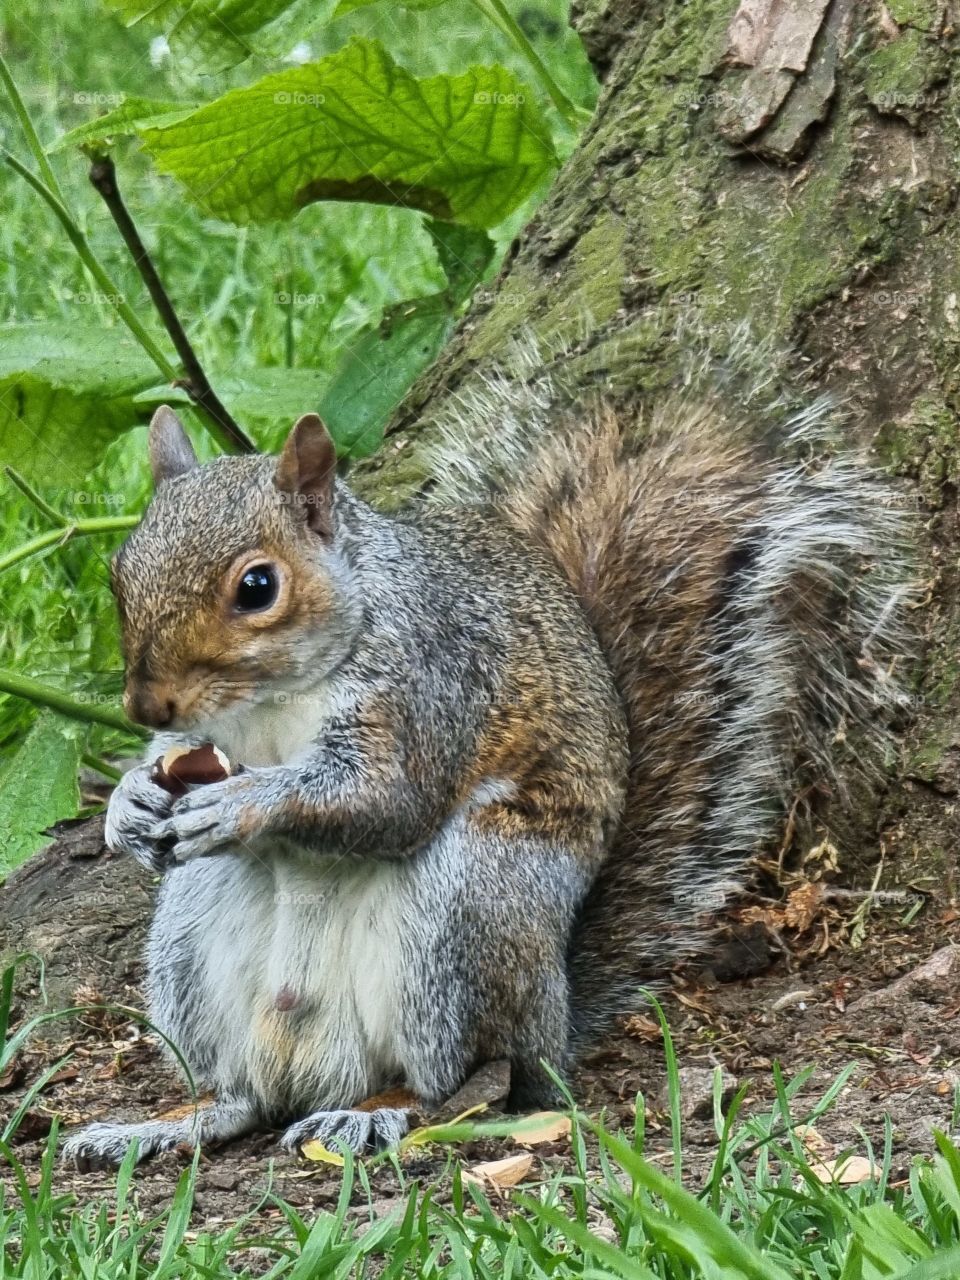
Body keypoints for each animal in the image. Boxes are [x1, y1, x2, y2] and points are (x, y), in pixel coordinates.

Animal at [63, 379, 910, 1169]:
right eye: (119, 572)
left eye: (257, 587)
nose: (143, 702)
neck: (274, 699)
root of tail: (554, 1018)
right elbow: (172, 762)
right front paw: (127, 805)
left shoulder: (432, 683)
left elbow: (388, 800)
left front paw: (244, 800)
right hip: (192, 941)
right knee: (244, 1095)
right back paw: (167, 1123)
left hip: (470, 910)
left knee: (472, 1075)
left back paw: (376, 1112)